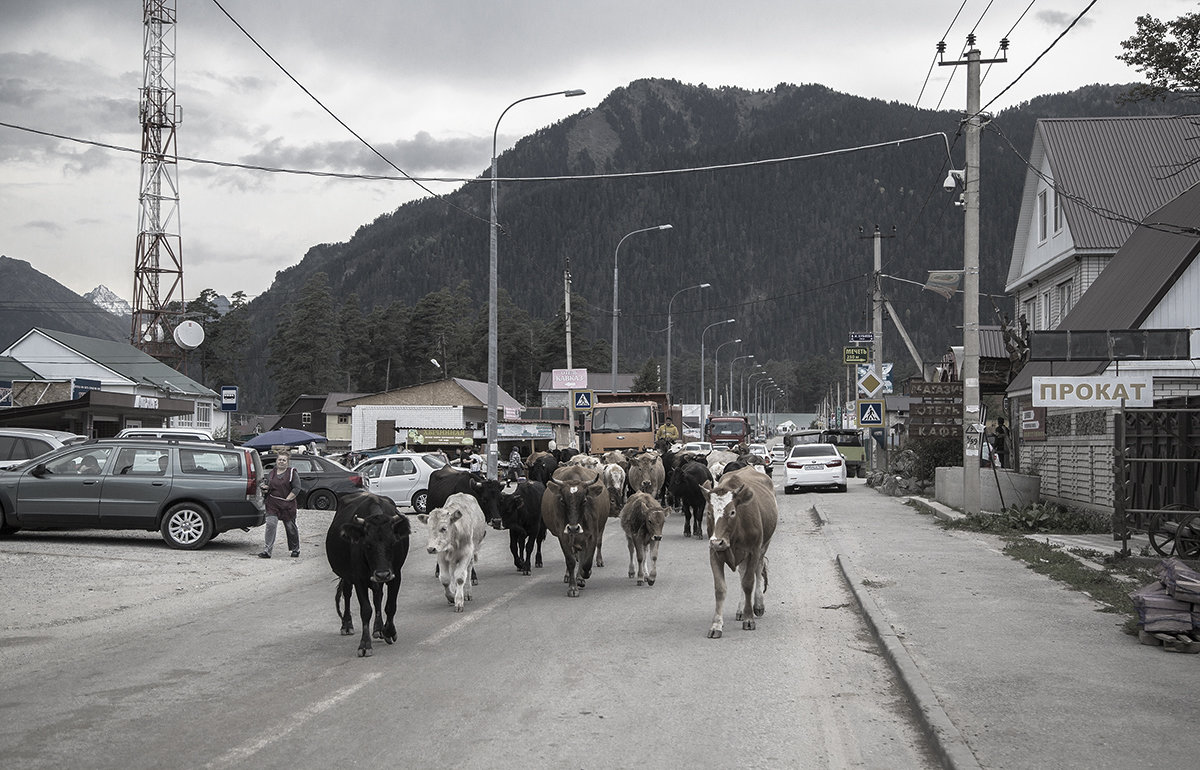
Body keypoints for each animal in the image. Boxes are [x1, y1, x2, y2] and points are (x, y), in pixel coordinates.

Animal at [326, 491, 410, 652]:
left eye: (393, 543)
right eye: (367, 545)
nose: (382, 574)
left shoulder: (396, 575)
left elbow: (390, 606)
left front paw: (389, 632)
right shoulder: (359, 578)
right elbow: (366, 610)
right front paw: (365, 644)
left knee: (378, 596)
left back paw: (378, 628)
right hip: (348, 576)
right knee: (347, 593)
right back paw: (347, 625)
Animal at [542, 458, 609, 597]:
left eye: (584, 500)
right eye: (562, 500)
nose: (573, 528)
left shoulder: (592, 535)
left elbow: (587, 560)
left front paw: (584, 574)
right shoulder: (563, 536)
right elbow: (571, 560)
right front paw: (572, 587)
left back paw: (580, 577)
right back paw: (570, 576)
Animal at [700, 460, 777, 633]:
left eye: (732, 512)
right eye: (709, 513)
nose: (717, 541)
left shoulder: (753, 551)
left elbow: (748, 583)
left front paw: (749, 619)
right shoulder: (714, 553)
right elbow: (720, 588)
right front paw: (716, 624)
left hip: (763, 546)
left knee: (757, 571)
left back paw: (758, 605)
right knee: (742, 573)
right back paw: (741, 609)